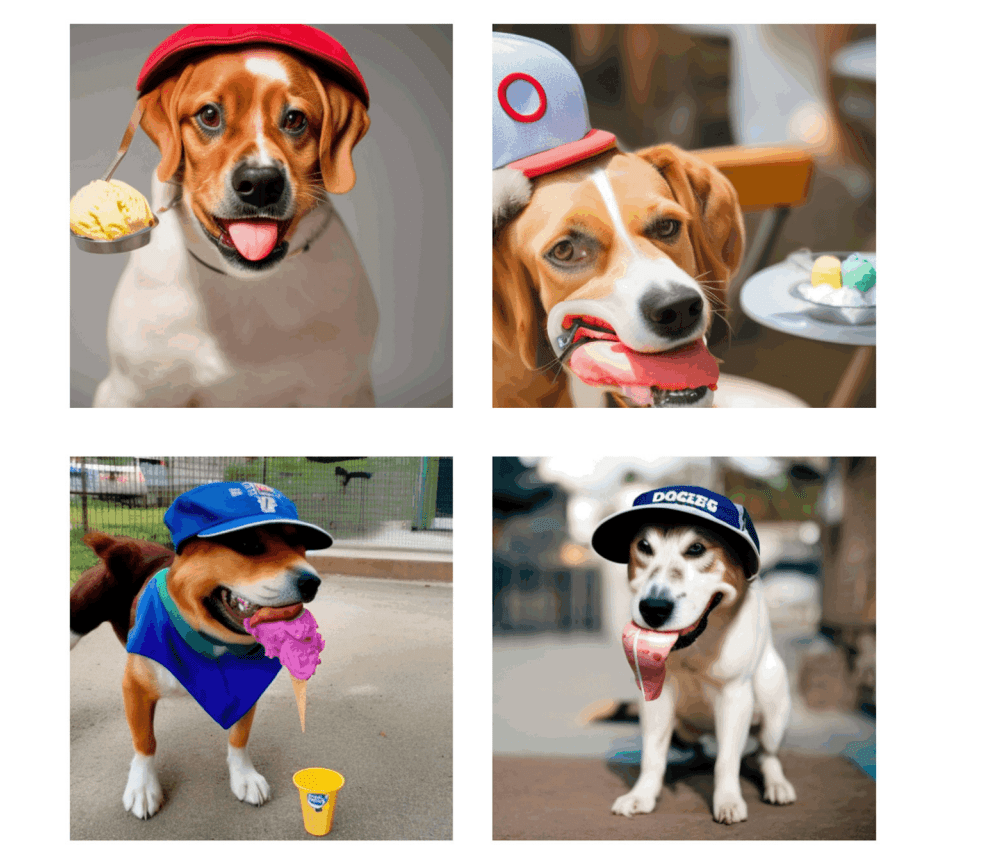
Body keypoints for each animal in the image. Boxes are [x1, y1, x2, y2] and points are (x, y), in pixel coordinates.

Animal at [95, 44, 378, 408]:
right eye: (209, 115)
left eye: (295, 119)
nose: (260, 183)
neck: (244, 286)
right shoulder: (133, 393)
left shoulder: (339, 391)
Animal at [592, 482, 796, 824]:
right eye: (644, 546)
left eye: (697, 549)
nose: (653, 609)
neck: (695, 643)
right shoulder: (656, 697)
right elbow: (653, 755)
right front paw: (643, 795)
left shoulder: (735, 696)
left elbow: (727, 760)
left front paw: (728, 800)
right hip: (686, 730)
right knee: (698, 749)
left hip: (771, 695)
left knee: (765, 753)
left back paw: (777, 784)